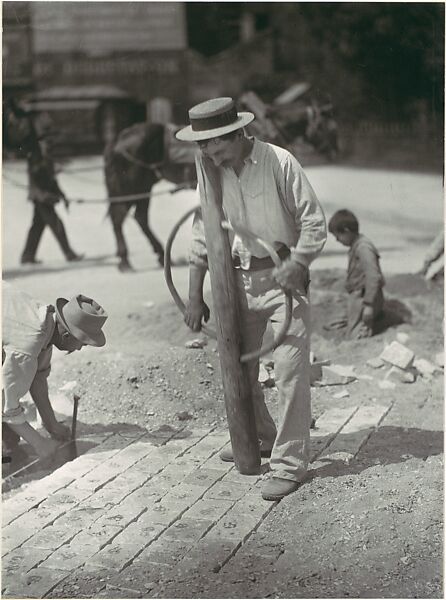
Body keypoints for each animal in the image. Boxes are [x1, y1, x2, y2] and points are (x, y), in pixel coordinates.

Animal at [104, 123, 197, 274]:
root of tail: (118, 140)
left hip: (143, 188)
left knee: (139, 218)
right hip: (131, 189)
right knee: (120, 217)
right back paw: (125, 261)